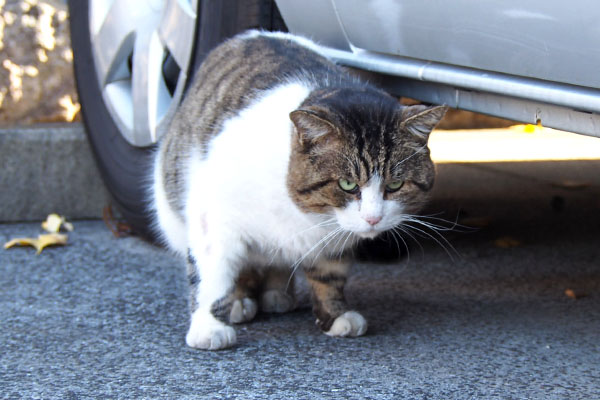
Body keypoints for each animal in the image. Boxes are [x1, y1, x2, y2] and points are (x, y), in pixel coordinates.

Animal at [151, 30, 446, 350]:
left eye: (395, 185)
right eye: (347, 184)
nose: (373, 219)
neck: (304, 214)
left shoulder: (334, 241)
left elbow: (330, 277)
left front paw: (335, 315)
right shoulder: (213, 218)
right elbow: (213, 276)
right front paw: (210, 326)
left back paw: (277, 294)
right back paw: (240, 301)